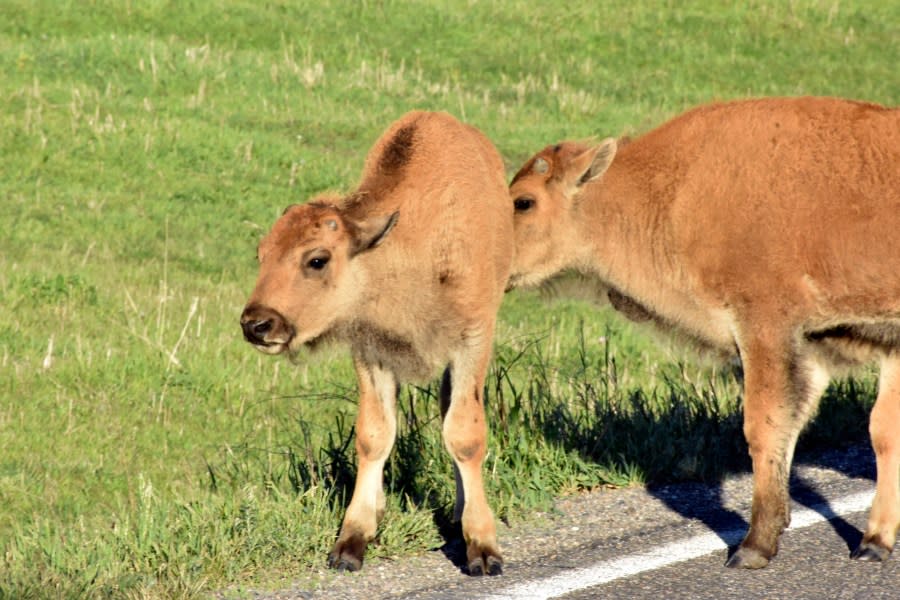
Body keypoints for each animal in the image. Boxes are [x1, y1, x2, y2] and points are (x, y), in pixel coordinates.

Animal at [241, 112, 512, 576]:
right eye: (262, 255)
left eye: (317, 259)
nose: (257, 324)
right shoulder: (370, 352)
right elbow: (374, 434)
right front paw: (351, 543)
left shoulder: (472, 341)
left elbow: (464, 434)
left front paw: (483, 549)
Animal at [506, 97, 900, 568]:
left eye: (523, 202)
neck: (673, 193)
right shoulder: (843, 345)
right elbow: (880, 430)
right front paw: (873, 544)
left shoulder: (764, 328)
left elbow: (763, 426)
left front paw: (752, 548)